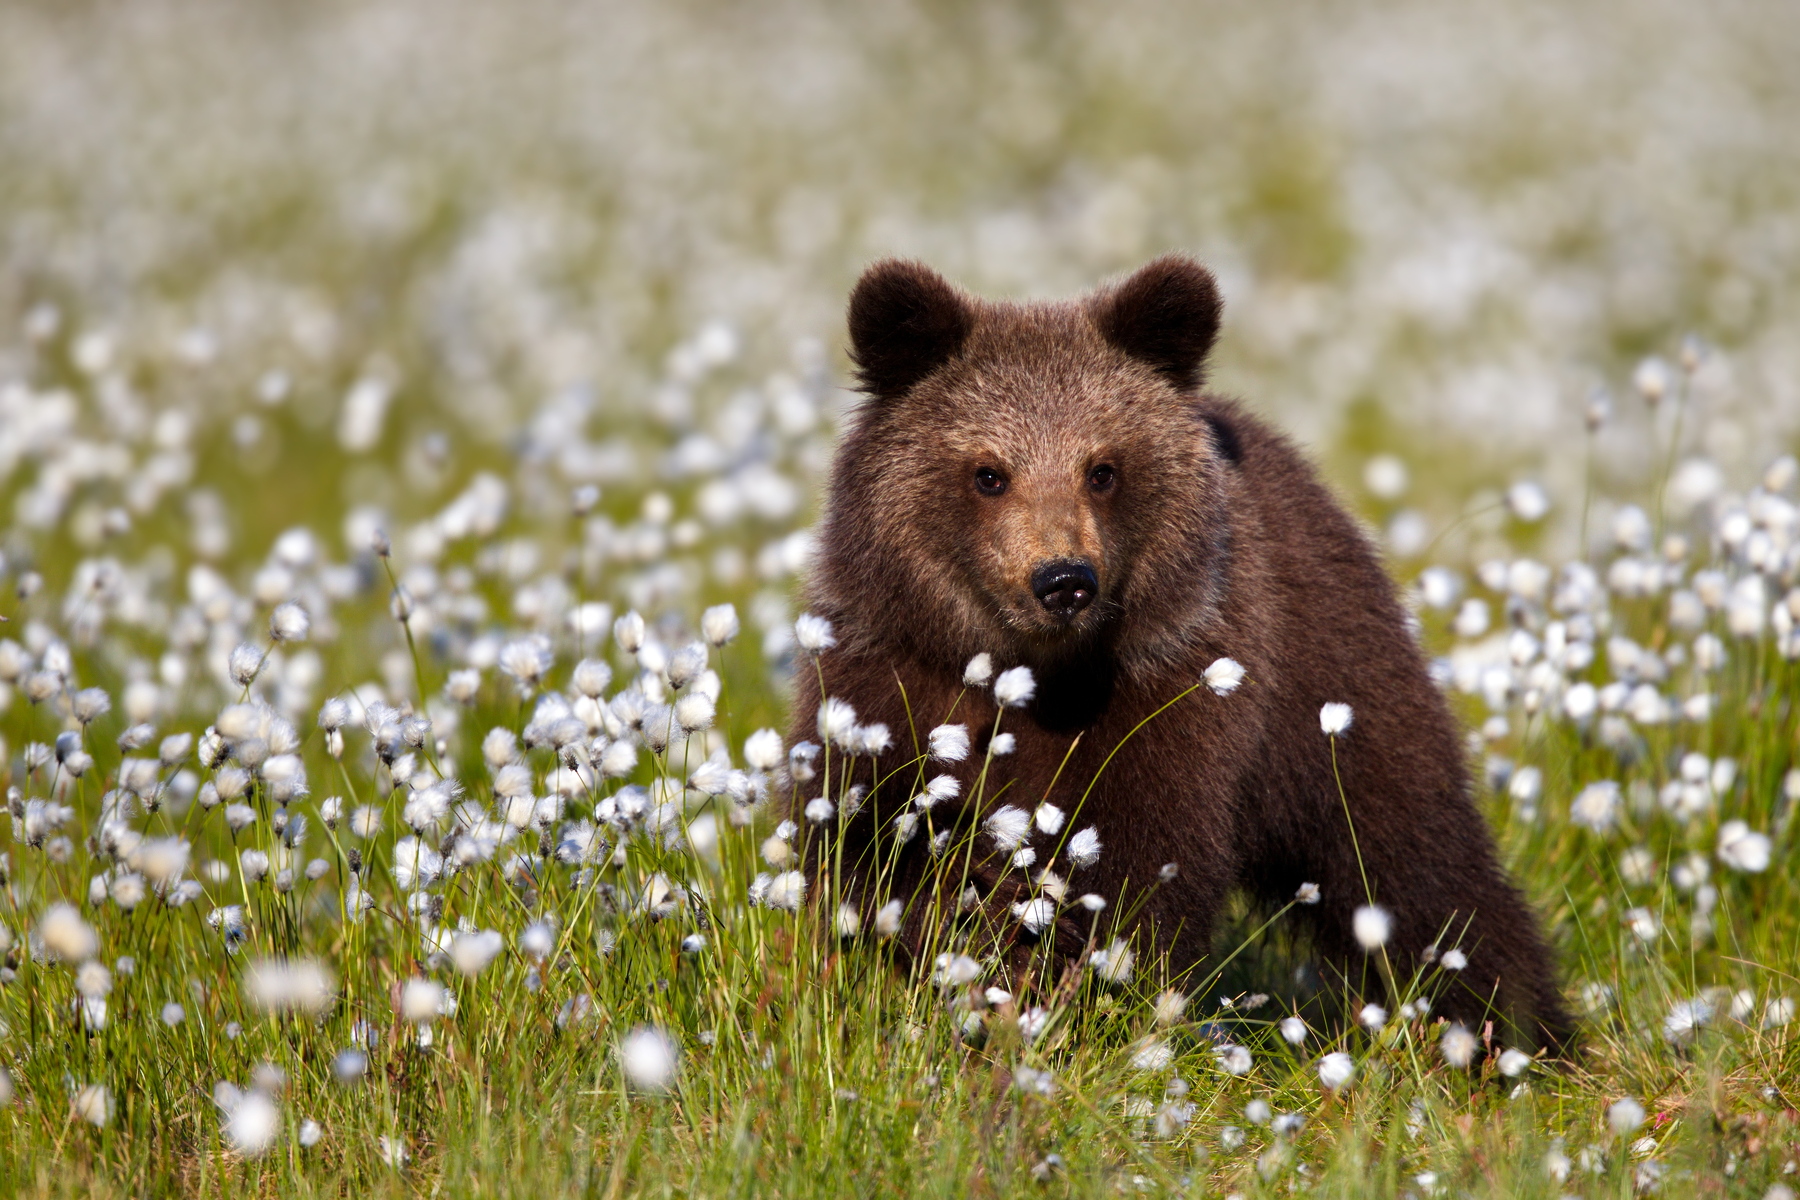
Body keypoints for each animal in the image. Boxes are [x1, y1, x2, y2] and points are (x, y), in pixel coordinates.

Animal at [795, 253, 1569, 1050]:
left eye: (1103, 468)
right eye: (989, 472)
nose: (1064, 580)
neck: (1031, 675)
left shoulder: (1170, 691)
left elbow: (1143, 863)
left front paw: (1073, 985)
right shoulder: (890, 677)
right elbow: (870, 833)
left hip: (1332, 690)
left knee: (1412, 857)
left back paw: (1511, 1028)